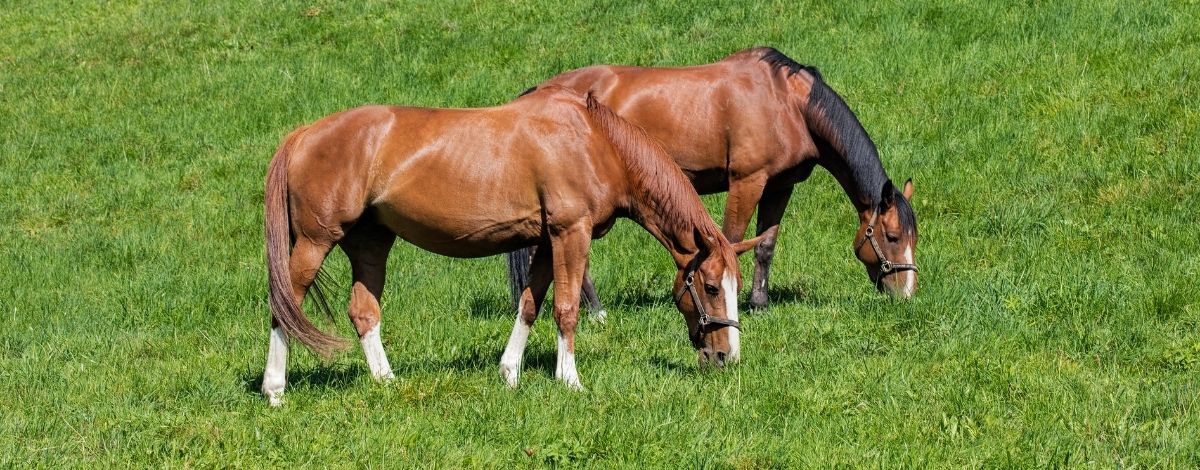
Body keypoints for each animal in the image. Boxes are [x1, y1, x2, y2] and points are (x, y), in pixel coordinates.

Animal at [262, 86, 758, 405]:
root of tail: (303, 134)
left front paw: (510, 373)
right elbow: (566, 308)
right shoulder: (569, 234)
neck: (595, 142)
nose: (727, 357)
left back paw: (386, 382)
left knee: (363, 311)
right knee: (285, 306)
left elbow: (529, 305)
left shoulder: (545, 241)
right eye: (710, 287)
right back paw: (274, 390)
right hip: (315, 243)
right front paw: (570, 380)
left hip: (371, 244)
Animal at [508, 46, 916, 316]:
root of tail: (540, 91)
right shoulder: (747, 181)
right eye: (893, 237)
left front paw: (760, 304)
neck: (788, 102)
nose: (907, 294)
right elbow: (733, 239)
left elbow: (766, 245)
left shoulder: (780, 186)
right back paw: (597, 312)